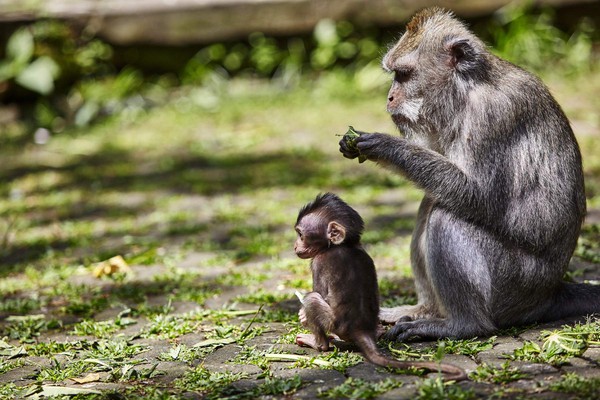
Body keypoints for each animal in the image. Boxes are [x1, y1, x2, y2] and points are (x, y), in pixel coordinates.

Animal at [292, 194, 466, 382]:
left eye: (301, 235)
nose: (295, 246)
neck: (343, 245)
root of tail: (360, 329)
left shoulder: (319, 262)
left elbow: (319, 293)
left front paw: (303, 315)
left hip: (335, 324)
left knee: (312, 299)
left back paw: (318, 343)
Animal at [340, 7, 592, 340]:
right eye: (394, 75)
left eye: (403, 75)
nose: (390, 97)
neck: (467, 88)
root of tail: (548, 294)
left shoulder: (492, 115)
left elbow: (477, 195)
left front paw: (385, 146)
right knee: (431, 203)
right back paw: (424, 311)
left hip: (513, 283)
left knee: (446, 217)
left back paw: (462, 324)